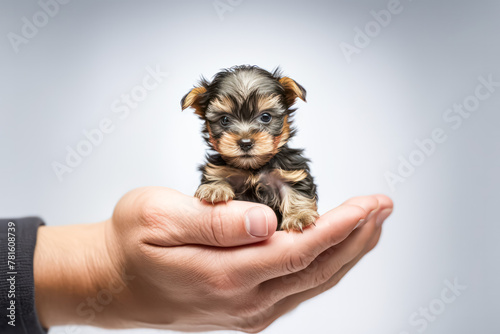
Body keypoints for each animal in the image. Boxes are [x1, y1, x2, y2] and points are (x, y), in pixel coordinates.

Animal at [182, 65, 318, 232]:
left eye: (265, 117)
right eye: (224, 120)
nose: (245, 142)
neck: (253, 168)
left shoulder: (289, 172)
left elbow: (296, 191)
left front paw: (300, 216)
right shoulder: (218, 169)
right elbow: (216, 175)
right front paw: (215, 189)